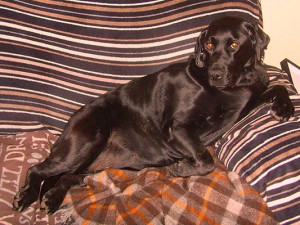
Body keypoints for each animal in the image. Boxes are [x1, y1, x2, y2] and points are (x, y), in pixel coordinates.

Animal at [13, 16, 292, 214]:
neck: (235, 86)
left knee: (65, 177)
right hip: (86, 141)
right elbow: (206, 159)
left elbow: (278, 86)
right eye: (210, 44)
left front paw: (285, 108)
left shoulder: (250, 98)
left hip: (87, 162)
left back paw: (51, 199)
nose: (215, 74)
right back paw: (25, 197)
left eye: (234, 44)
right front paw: (182, 168)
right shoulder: (177, 128)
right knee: (38, 170)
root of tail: (68, 127)